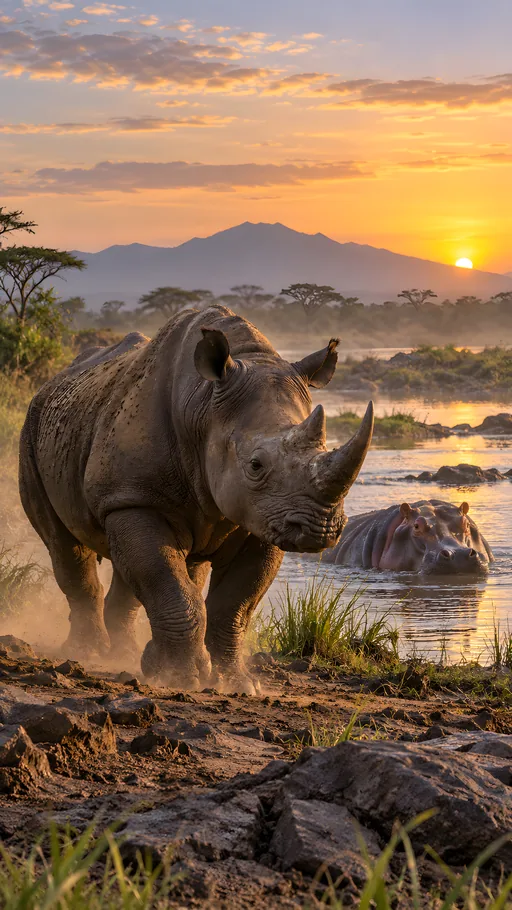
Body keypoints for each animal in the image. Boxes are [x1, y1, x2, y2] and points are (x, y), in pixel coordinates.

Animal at [19, 306, 373, 692]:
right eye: (256, 465)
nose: (320, 528)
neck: (204, 406)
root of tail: (52, 383)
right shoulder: (135, 498)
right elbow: (167, 583)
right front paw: (180, 678)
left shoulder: (263, 517)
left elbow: (233, 603)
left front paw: (235, 684)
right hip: (34, 428)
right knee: (65, 545)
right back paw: (90, 652)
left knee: (169, 567)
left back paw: (127, 654)